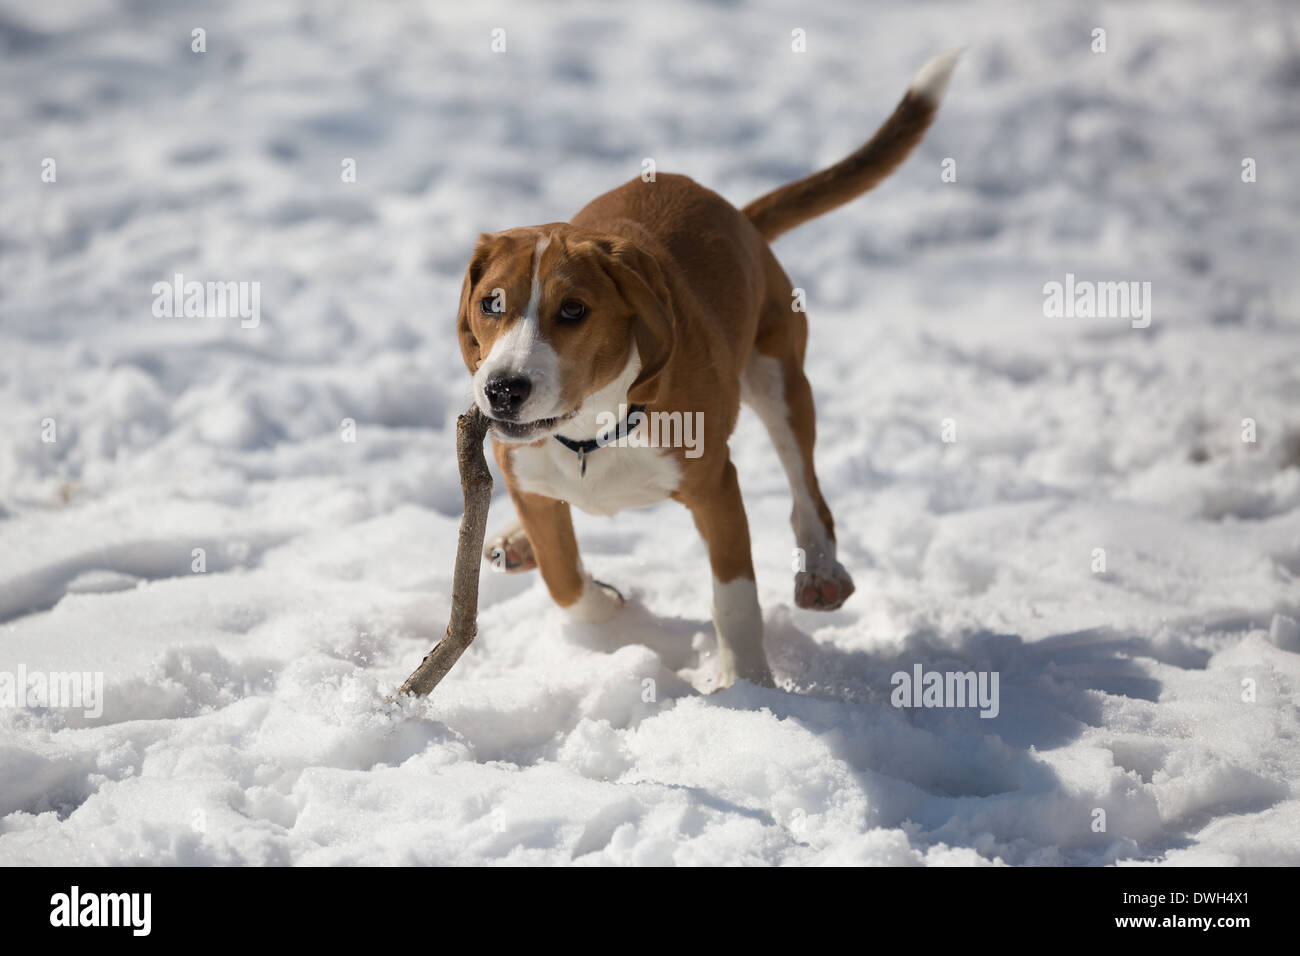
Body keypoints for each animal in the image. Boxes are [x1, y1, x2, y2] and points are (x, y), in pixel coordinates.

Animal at [454, 48, 956, 686]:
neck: (594, 429)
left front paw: (747, 687)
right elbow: (563, 579)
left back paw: (820, 571)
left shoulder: (717, 486)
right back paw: (516, 542)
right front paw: (604, 602)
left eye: (573, 310)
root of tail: (738, 214)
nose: (503, 390)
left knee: (807, 490)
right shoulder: (529, 480)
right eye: (491, 303)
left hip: (781, 378)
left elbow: (734, 596)